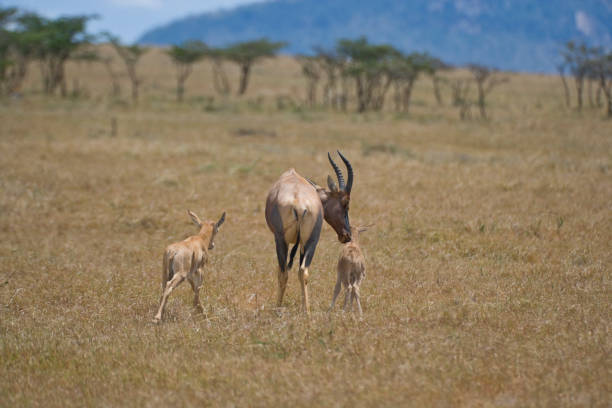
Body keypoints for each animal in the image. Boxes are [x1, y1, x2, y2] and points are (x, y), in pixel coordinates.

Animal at [262, 151, 354, 314]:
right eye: (345, 203)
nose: (347, 235)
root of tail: (299, 203)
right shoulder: (302, 243)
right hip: (312, 240)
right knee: (303, 270)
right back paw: (307, 311)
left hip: (281, 240)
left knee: (284, 272)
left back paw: (279, 309)